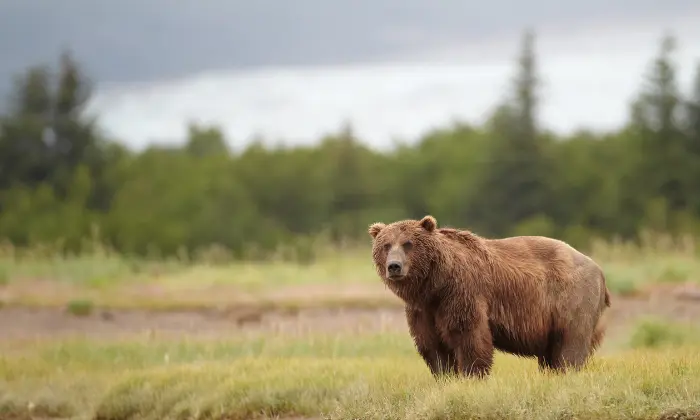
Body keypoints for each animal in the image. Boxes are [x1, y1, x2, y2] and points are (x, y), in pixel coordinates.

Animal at [370, 217, 608, 378]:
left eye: (408, 243)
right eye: (386, 245)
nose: (394, 266)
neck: (435, 284)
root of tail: (598, 268)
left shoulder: (462, 293)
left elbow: (469, 336)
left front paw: (471, 375)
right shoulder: (423, 308)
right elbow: (432, 344)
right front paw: (445, 376)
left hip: (571, 297)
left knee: (570, 341)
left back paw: (565, 371)